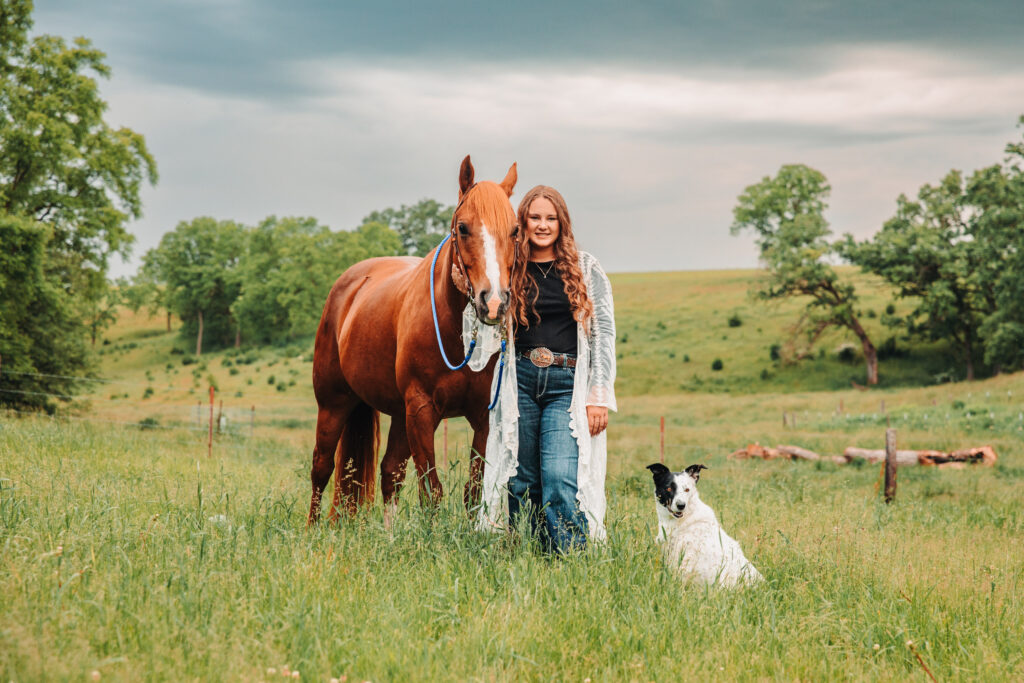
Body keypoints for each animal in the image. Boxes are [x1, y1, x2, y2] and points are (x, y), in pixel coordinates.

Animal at [301, 157, 512, 528]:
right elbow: (432, 491)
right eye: (463, 228)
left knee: (389, 474)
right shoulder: (422, 410)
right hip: (334, 403)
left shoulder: (482, 416)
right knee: (322, 468)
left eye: (515, 231)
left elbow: (474, 492)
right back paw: (312, 529)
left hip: (398, 414)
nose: (494, 302)